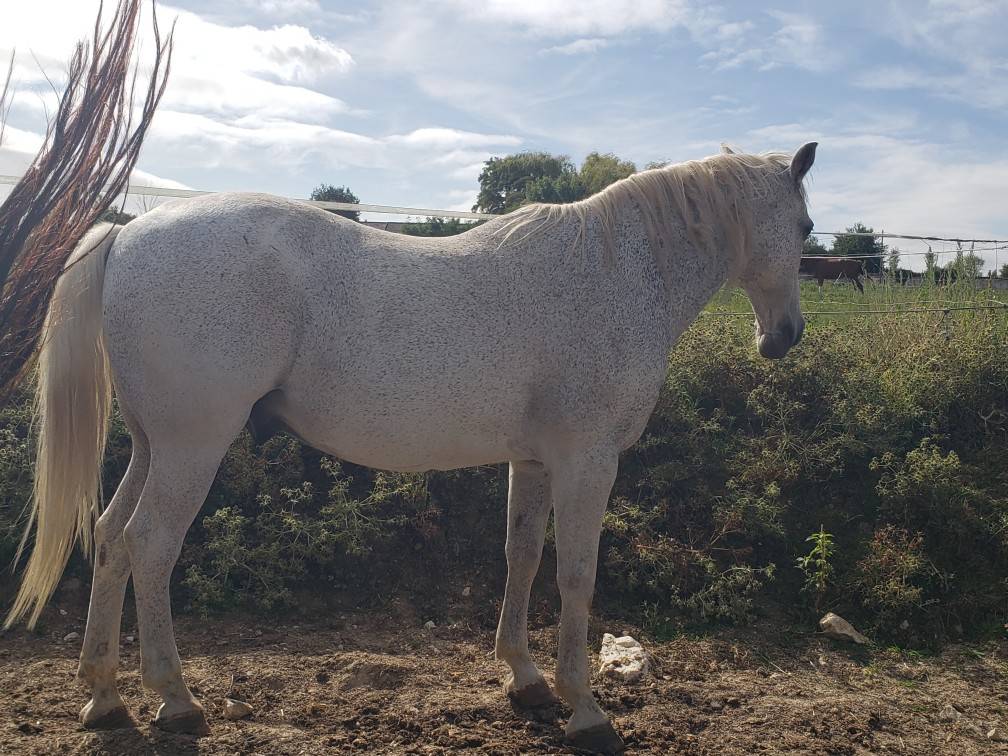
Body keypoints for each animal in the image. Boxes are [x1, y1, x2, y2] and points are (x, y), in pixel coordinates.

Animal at [4, 141, 816, 753]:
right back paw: (175, 700)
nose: (785, 337)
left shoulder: (534, 461)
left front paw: (525, 681)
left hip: (153, 446)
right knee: (149, 546)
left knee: (111, 538)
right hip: (191, 449)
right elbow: (577, 576)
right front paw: (585, 710)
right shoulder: (588, 462)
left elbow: (523, 557)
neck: (616, 272)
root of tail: (127, 233)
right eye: (807, 228)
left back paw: (106, 698)